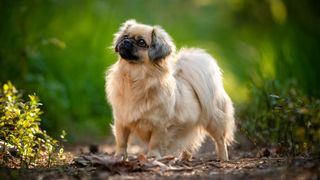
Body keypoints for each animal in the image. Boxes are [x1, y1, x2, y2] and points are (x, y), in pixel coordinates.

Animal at [105, 19, 235, 160]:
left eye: (141, 42)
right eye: (125, 36)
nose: (126, 41)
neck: (135, 80)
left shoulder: (159, 125)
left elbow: (155, 143)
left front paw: (152, 157)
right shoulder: (121, 122)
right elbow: (121, 142)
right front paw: (119, 156)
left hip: (213, 121)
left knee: (220, 140)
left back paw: (223, 158)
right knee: (189, 144)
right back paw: (184, 159)